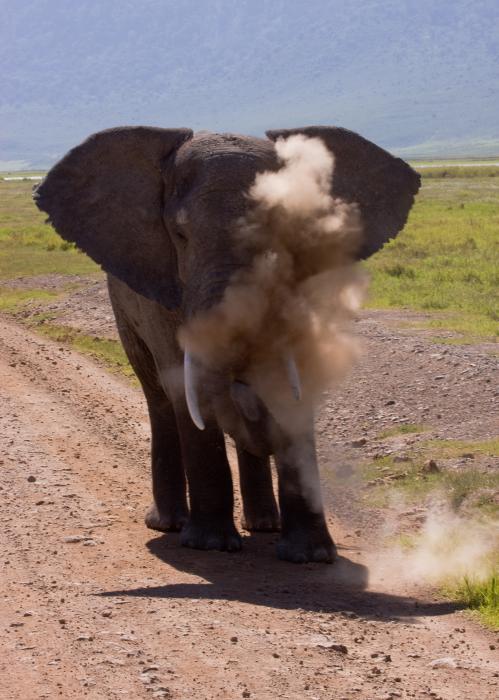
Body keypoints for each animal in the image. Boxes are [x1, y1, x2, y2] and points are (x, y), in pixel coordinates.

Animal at [33, 124, 420, 564]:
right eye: (180, 235)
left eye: (287, 231)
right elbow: (187, 387)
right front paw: (211, 546)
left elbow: (297, 382)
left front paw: (310, 556)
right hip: (125, 309)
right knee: (159, 397)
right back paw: (170, 524)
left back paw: (264, 524)